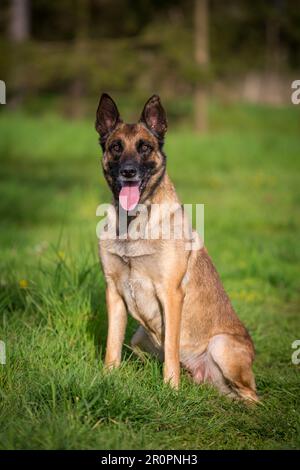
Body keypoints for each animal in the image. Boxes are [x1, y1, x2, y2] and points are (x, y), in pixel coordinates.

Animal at [95, 93, 258, 402]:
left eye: (145, 147)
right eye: (116, 147)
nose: (128, 172)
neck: (134, 221)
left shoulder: (170, 294)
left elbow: (171, 348)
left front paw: (171, 389)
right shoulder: (113, 292)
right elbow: (112, 345)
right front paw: (107, 378)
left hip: (221, 345)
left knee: (253, 396)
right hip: (139, 337)